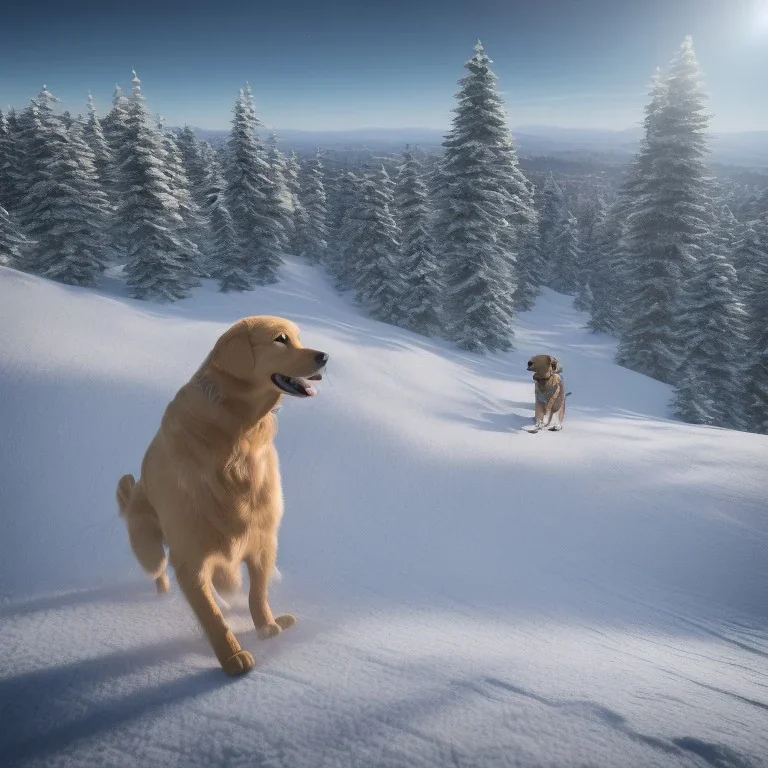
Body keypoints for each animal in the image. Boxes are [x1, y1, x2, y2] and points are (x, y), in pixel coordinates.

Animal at [117, 316, 328, 676]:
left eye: (298, 338)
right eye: (280, 339)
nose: (325, 357)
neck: (237, 435)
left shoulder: (262, 538)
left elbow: (257, 592)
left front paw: (267, 627)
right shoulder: (190, 558)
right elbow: (211, 615)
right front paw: (233, 659)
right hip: (149, 547)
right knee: (159, 569)